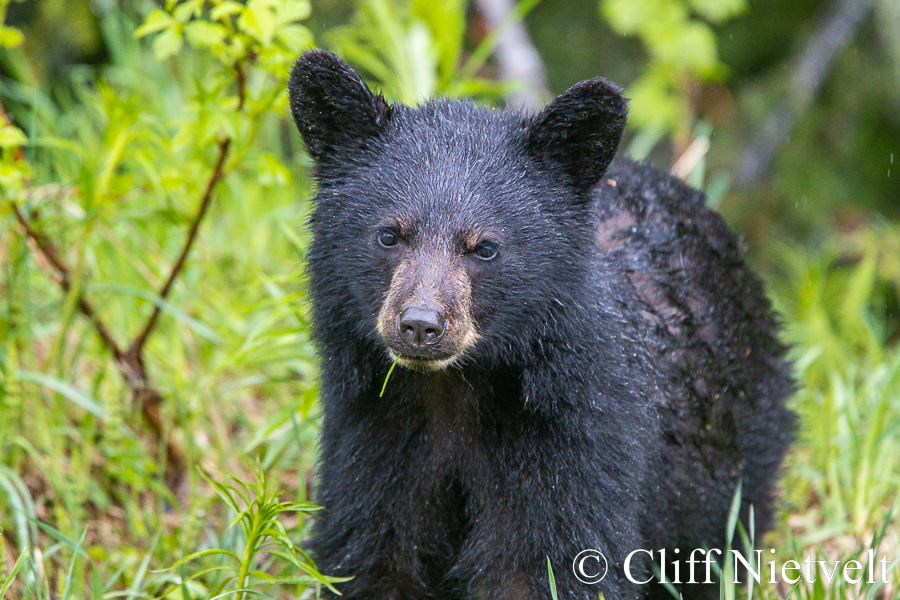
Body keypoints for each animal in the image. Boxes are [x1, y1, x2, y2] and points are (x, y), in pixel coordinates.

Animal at [288, 50, 795, 600]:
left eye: (485, 246)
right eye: (389, 234)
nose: (421, 325)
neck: (451, 390)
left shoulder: (574, 444)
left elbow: (552, 563)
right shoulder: (373, 432)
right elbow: (372, 549)